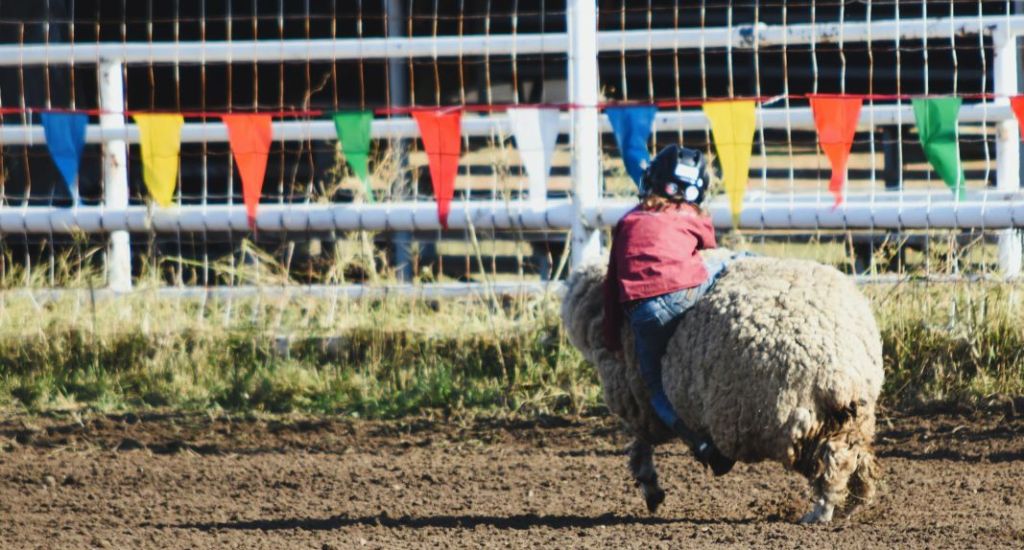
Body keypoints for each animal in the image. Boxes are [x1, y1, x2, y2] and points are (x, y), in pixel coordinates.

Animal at [560, 251, 884, 524]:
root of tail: (845, 362)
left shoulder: (640, 398)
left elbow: (642, 443)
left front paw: (650, 485)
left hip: (796, 421)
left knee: (833, 463)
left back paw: (821, 512)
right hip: (853, 419)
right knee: (858, 462)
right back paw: (852, 505)